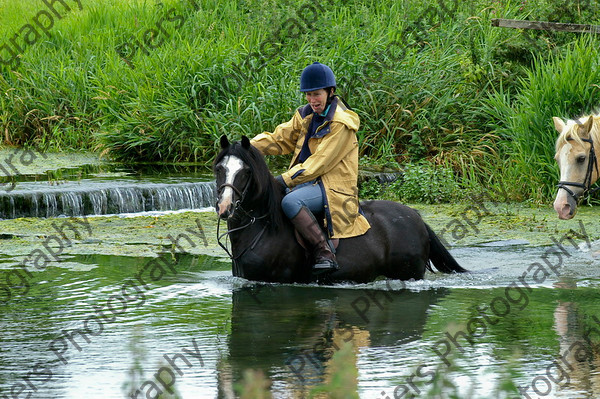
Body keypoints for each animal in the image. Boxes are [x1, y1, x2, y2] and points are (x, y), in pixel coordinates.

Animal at [213, 136, 466, 282]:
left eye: (246, 171)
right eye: (219, 169)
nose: (225, 207)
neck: (263, 226)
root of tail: (417, 218)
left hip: (409, 273)